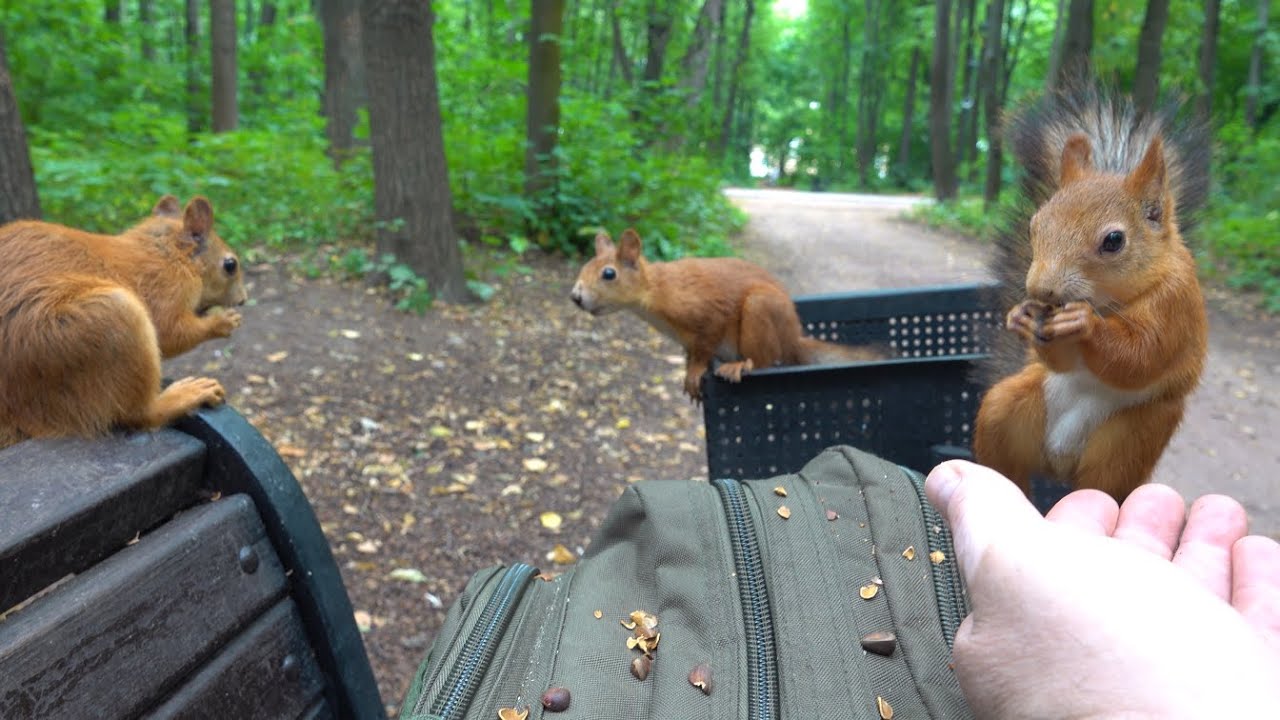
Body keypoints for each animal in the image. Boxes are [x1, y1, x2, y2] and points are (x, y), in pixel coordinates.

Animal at [0, 195, 247, 449]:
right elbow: (170, 334)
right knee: (138, 415)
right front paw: (222, 322)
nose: (243, 299)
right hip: (107, 320)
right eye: (230, 265)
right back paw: (186, 395)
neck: (167, 253)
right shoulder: (165, 289)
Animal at [570, 228, 888, 400]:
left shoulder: (706, 313)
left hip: (760, 310)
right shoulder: (686, 339)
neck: (655, 292)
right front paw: (688, 368)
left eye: (608, 274)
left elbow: (705, 344)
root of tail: (794, 338)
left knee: (764, 360)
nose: (576, 297)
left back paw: (741, 365)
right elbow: (692, 352)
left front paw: (695, 372)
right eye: (584, 266)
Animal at [972, 78, 1211, 502]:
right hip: (1009, 407)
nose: (1041, 290)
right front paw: (1021, 317)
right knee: (1007, 453)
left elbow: (1142, 354)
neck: (1109, 302)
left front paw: (1085, 325)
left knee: (1104, 482)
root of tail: (1059, 463)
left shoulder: (1175, 303)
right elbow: (1063, 362)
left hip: (1129, 440)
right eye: (1034, 225)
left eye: (1114, 240)